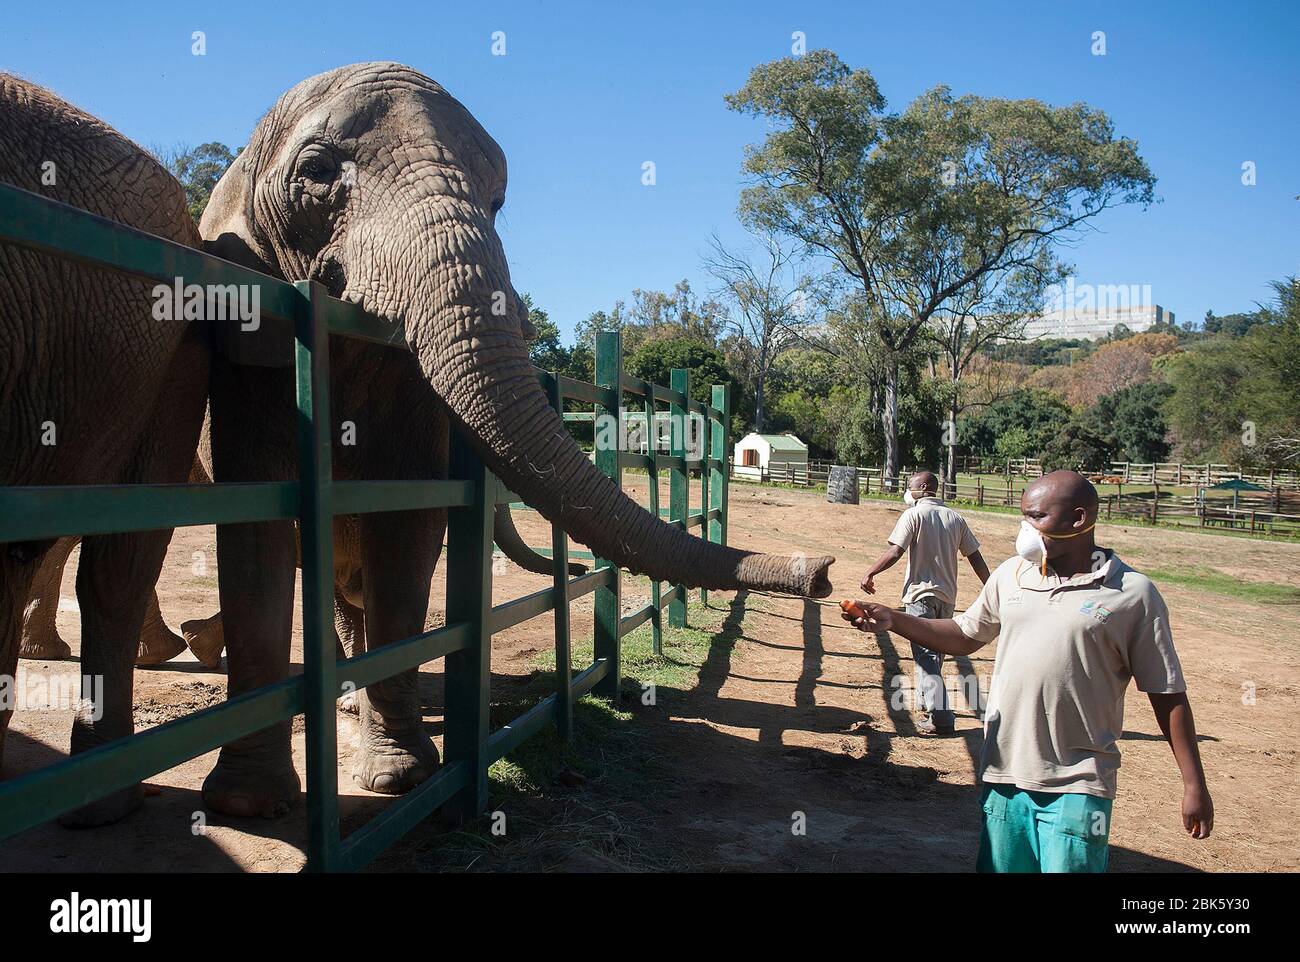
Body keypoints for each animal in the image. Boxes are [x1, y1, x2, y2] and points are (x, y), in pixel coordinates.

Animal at [197, 58, 837, 811]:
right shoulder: (251, 331)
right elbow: (257, 519)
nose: (824, 572)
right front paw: (248, 804)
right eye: (318, 171)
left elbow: (407, 528)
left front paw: (399, 778)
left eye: (499, 201)